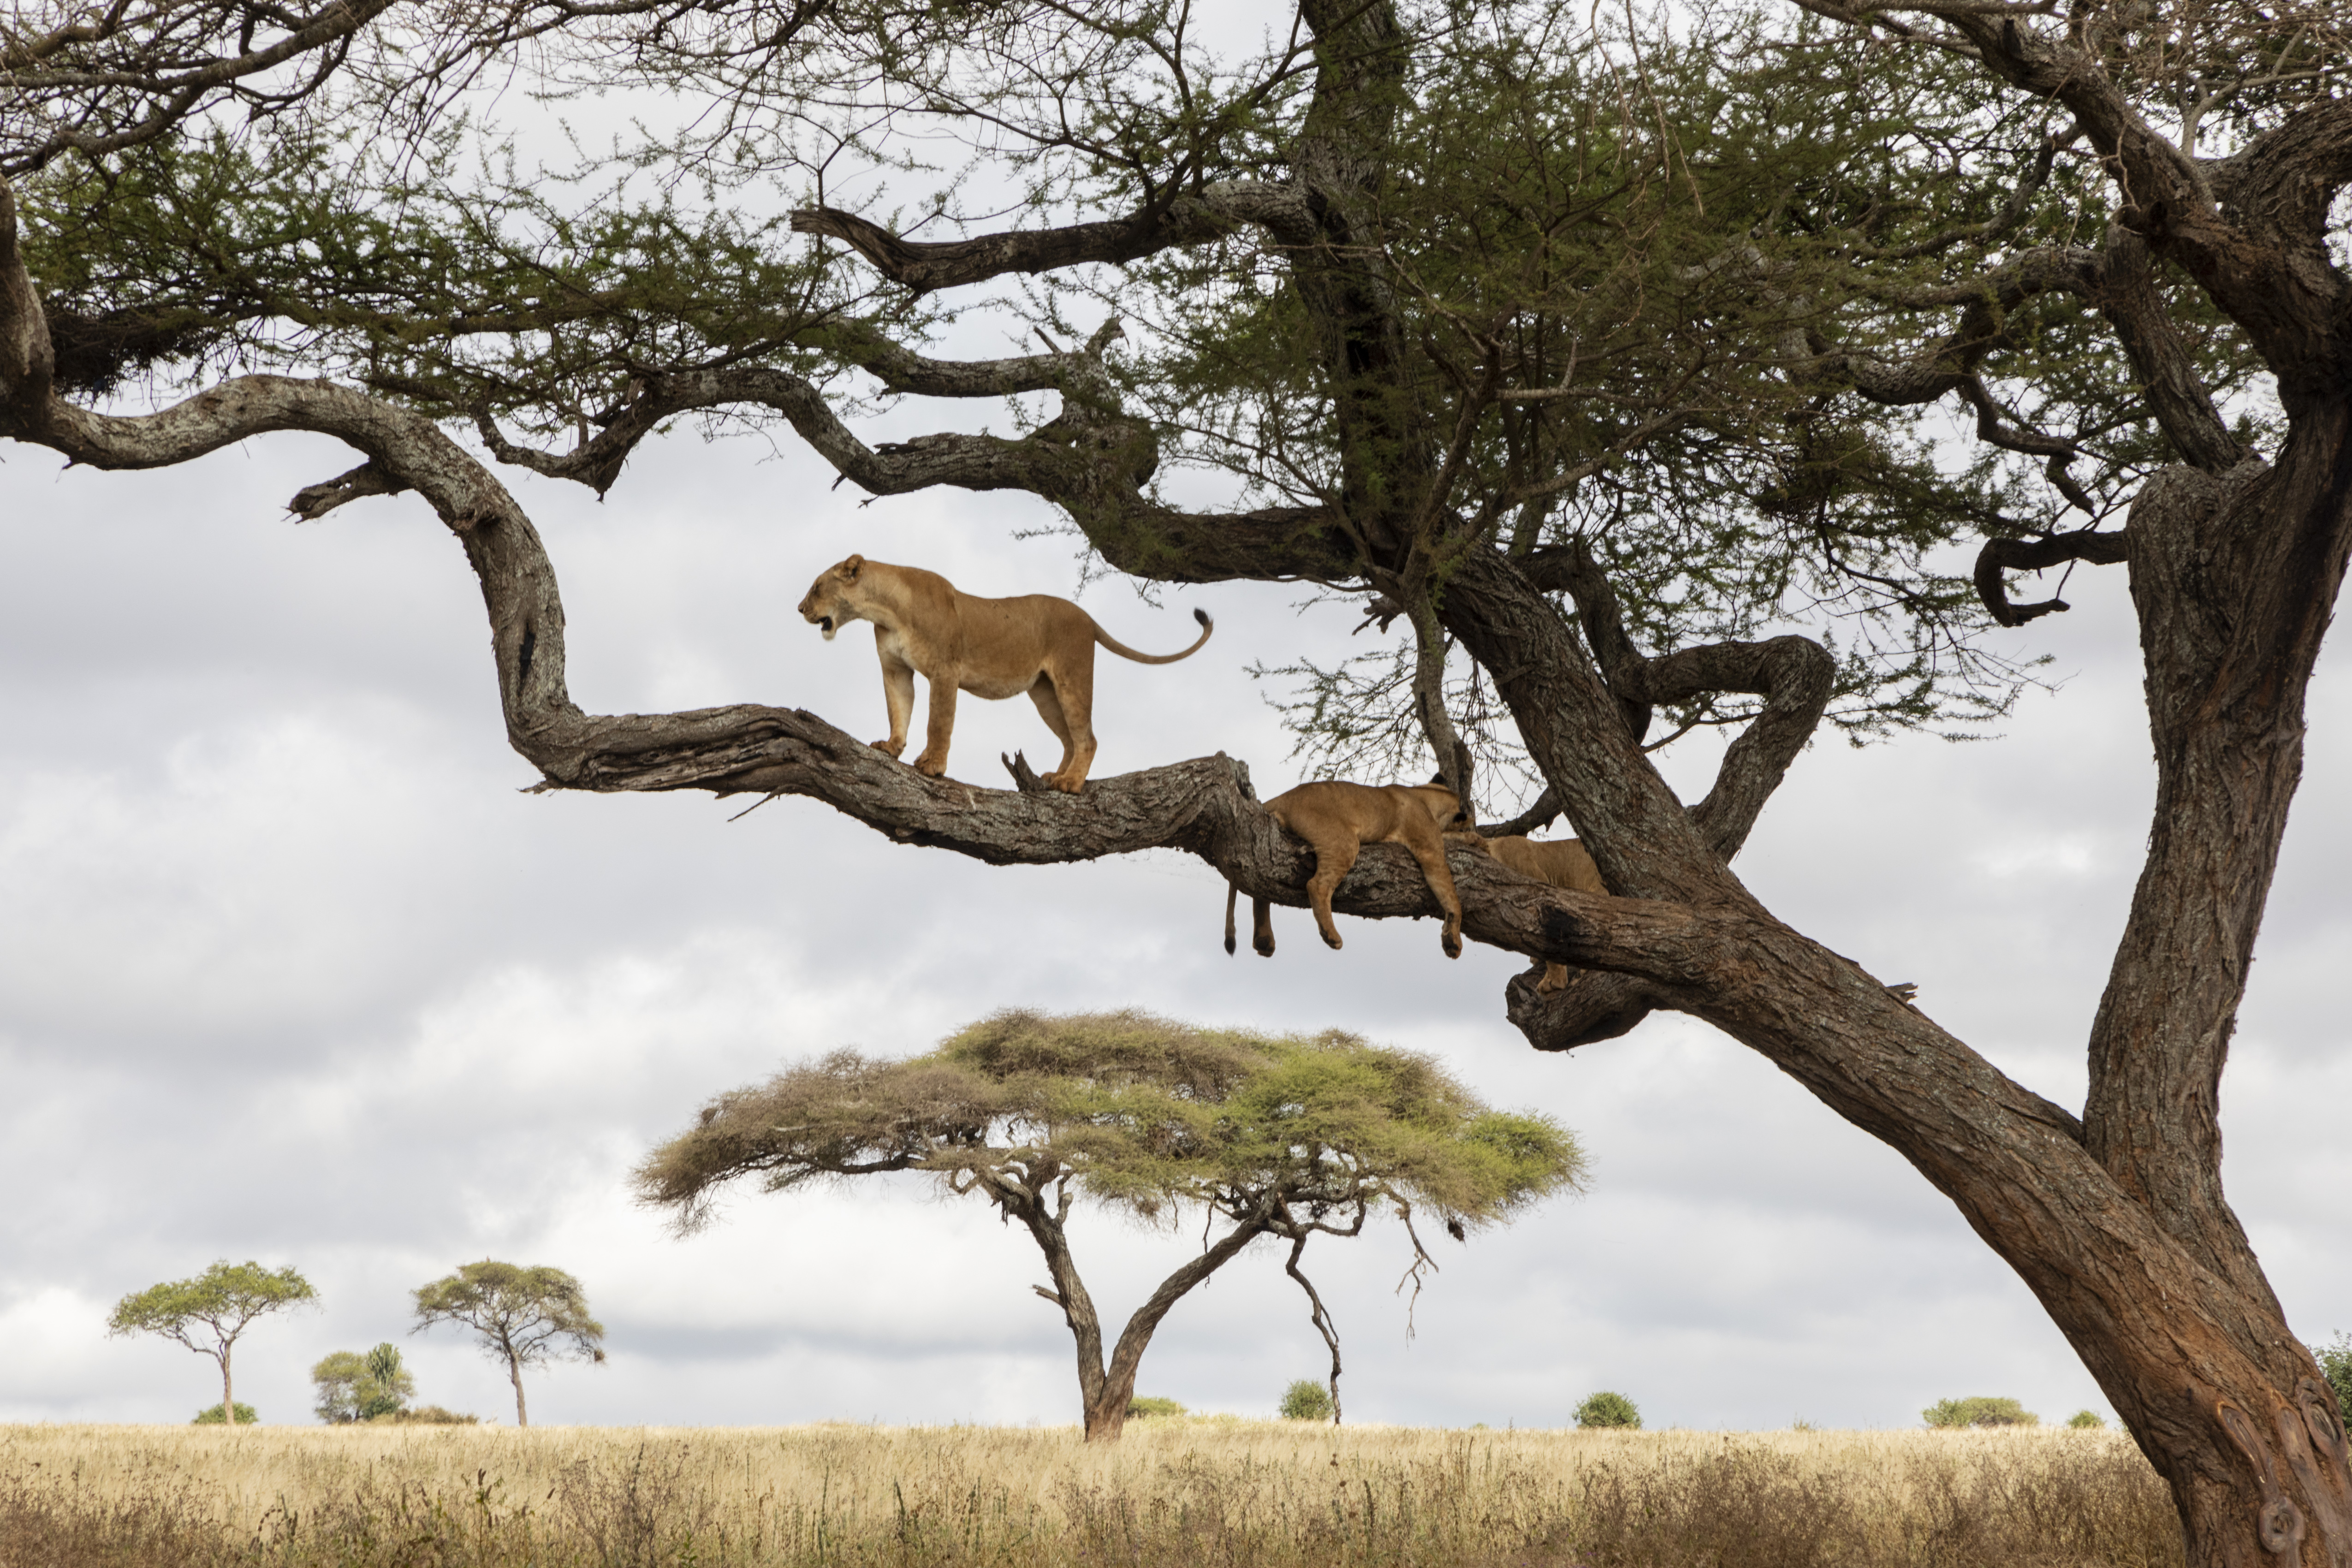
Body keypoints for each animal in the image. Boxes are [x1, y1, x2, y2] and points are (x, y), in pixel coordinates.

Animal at [798, 555, 1213, 793]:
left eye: (817, 586)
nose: (800, 608)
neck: (885, 609)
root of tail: (1088, 618)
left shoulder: (945, 671)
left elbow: (938, 721)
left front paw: (933, 766)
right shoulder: (896, 669)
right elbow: (898, 710)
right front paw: (892, 747)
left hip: (1072, 677)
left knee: (1088, 738)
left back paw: (1071, 784)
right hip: (1044, 692)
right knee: (1070, 739)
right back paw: (1055, 778)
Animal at [1223, 780, 1469, 960]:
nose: (1470, 828)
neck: (1421, 795)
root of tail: (1279, 800)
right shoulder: (1430, 850)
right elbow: (1452, 896)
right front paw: (1453, 941)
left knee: (1261, 888)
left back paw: (1264, 941)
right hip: (1344, 842)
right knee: (1316, 885)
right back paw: (1331, 936)